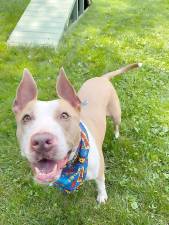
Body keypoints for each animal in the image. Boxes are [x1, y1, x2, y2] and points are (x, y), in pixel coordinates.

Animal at [12, 62, 141, 203]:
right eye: (26, 118)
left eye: (64, 115)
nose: (41, 141)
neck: (71, 167)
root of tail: (102, 78)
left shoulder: (100, 171)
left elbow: (101, 184)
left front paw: (102, 196)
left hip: (116, 113)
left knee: (116, 124)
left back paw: (117, 135)